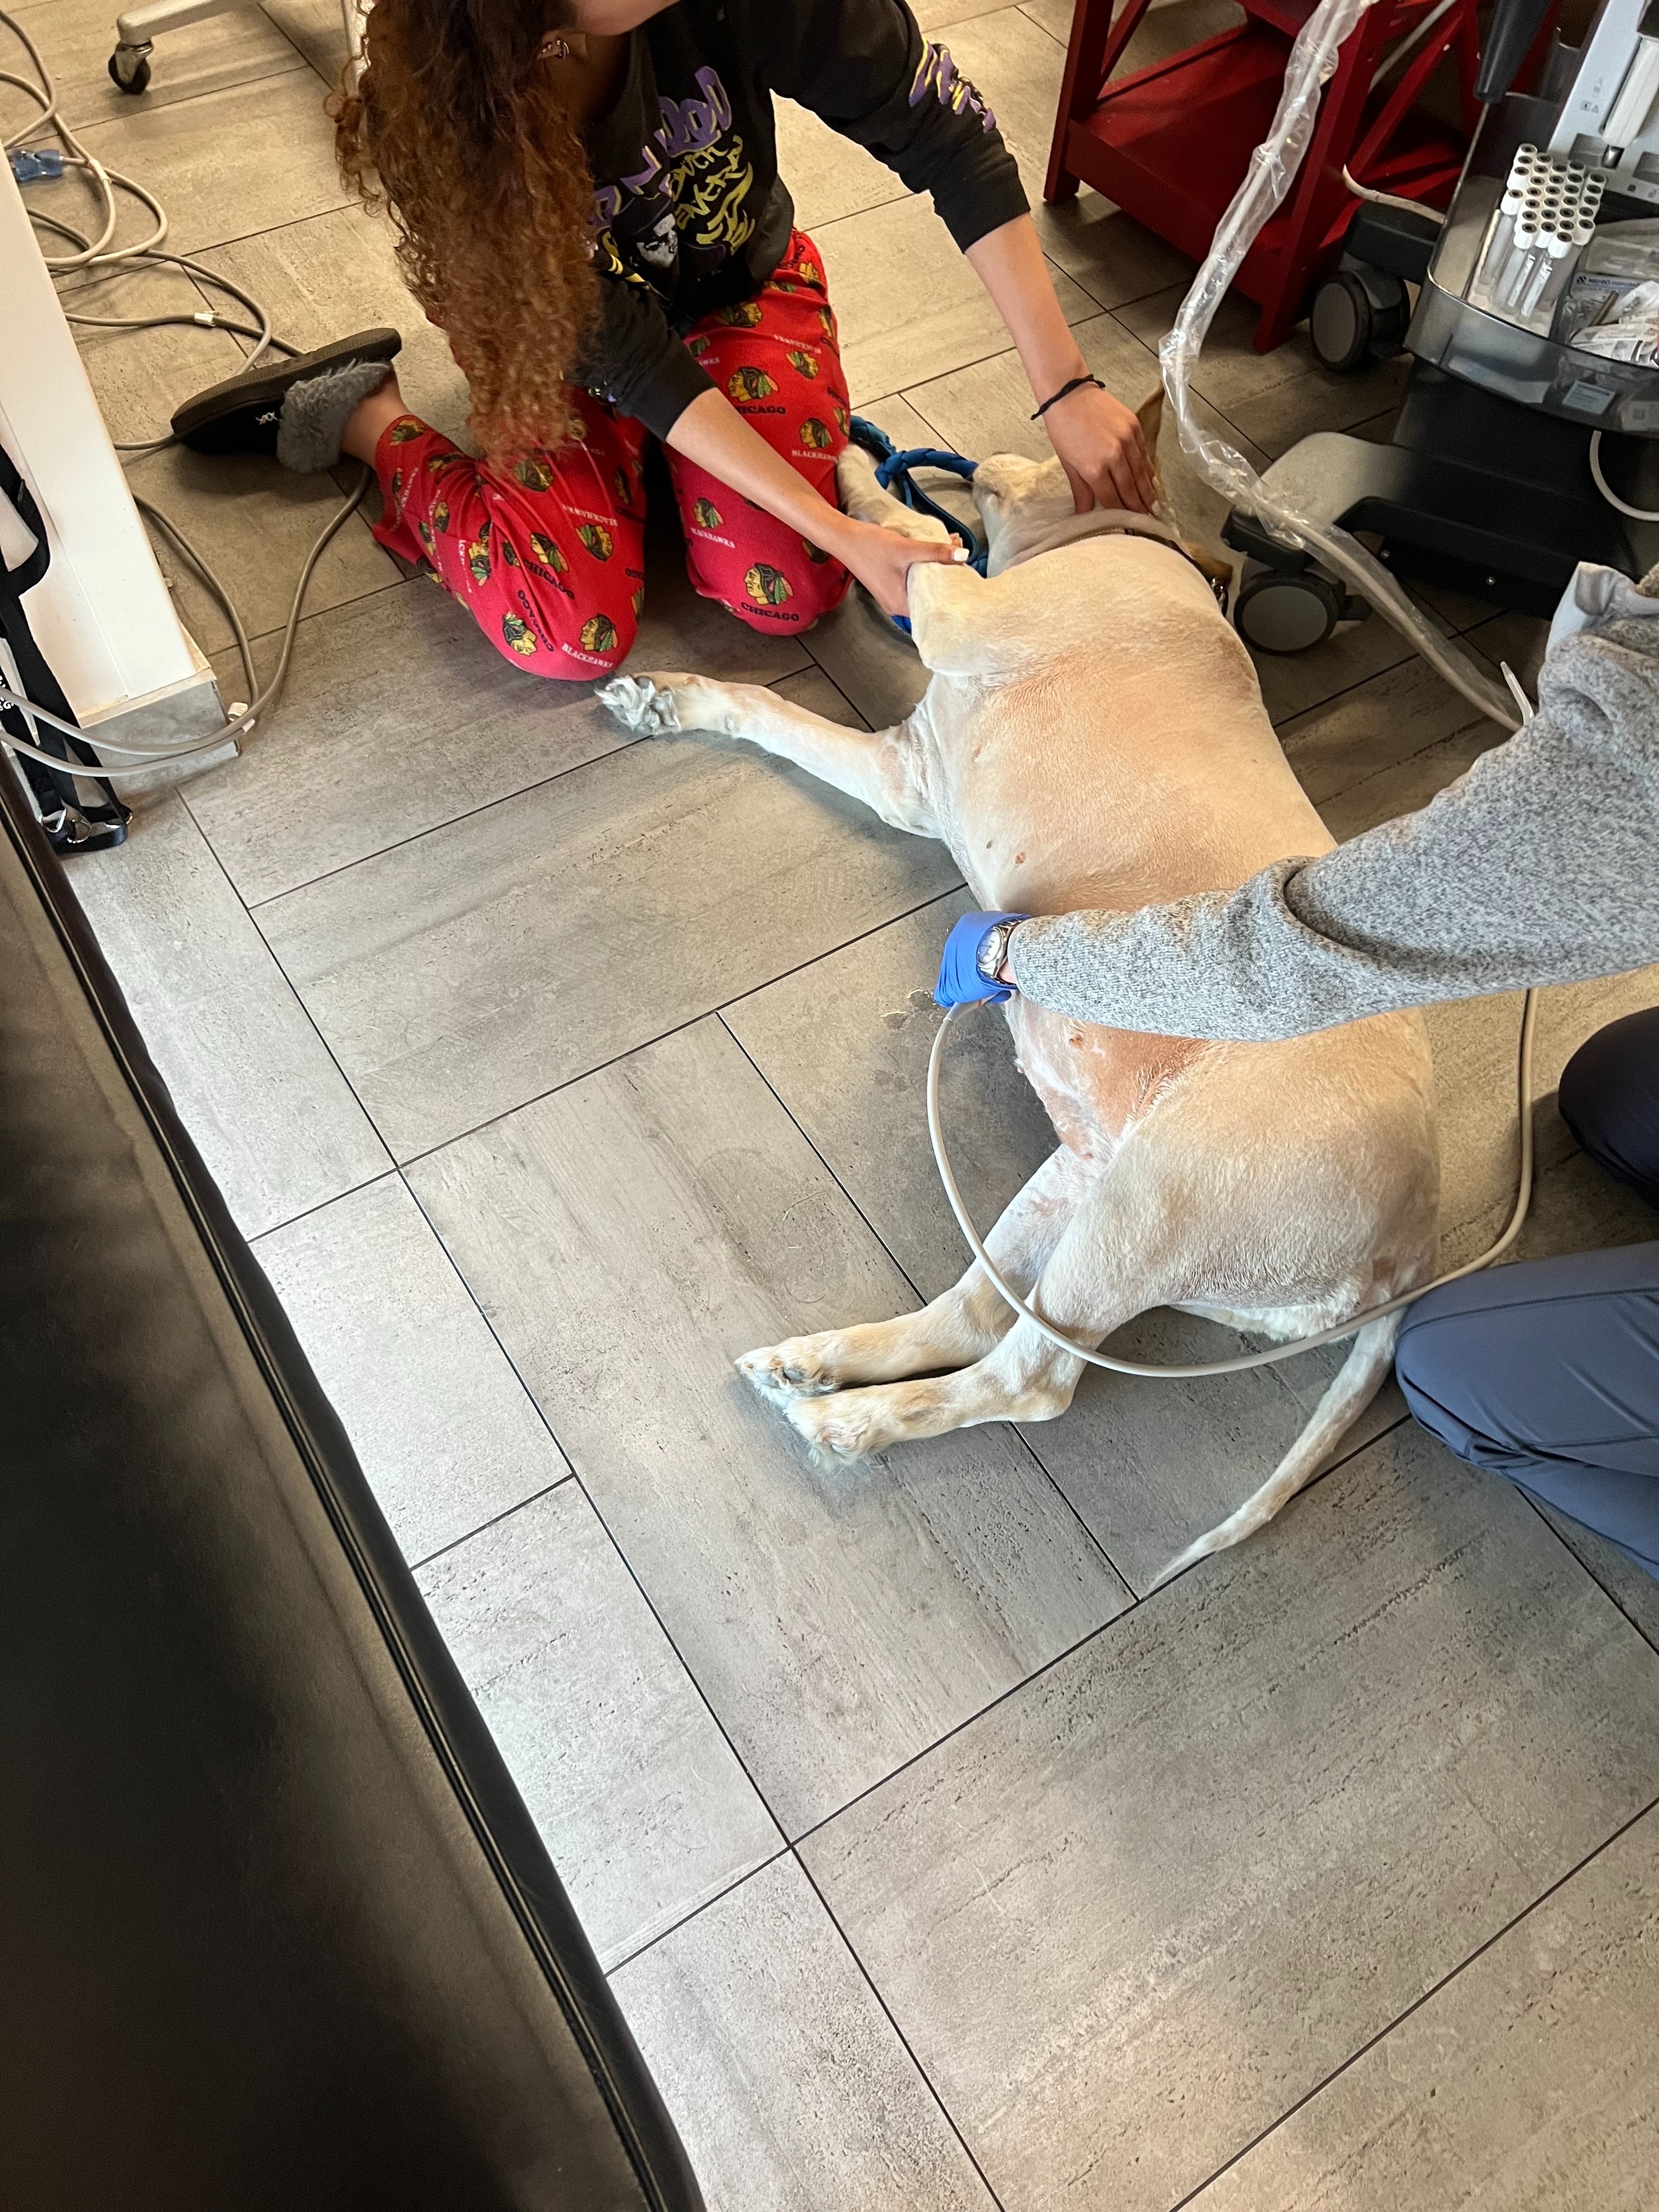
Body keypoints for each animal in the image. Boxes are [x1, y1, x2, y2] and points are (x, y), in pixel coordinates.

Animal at [600, 396, 1439, 1579]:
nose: (947, 453)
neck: (1124, 532)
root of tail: (1418, 1238)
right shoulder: (906, 775)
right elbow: (769, 710)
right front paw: (664, 698)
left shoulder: (960, 618)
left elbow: (914, 548)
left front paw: (856, 481)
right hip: (1081, 1181)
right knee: (970, 1317)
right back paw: (820, 1364)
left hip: (1152, 1204)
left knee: (1030, 1378)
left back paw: (843, 1423)